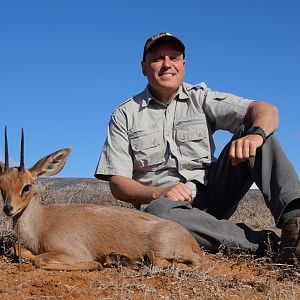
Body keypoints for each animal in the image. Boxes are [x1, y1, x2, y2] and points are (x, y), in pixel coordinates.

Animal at [0, 130, 204, 270]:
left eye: (27, 186)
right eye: (1, 184)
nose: (8, 208)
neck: (42, 222)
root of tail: (191, 241)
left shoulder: (74, 252)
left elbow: (40, 259)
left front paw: (98, 263)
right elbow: (15, 249)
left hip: (161, 253)